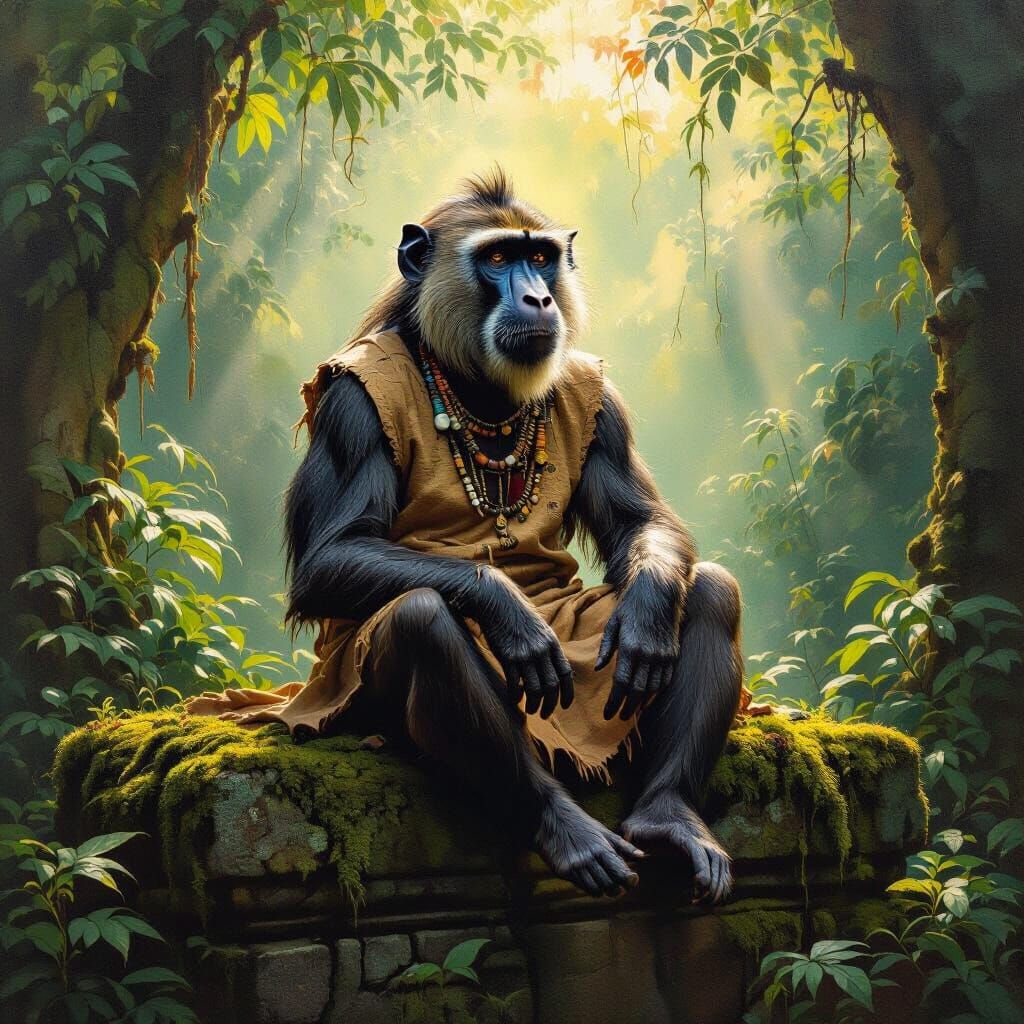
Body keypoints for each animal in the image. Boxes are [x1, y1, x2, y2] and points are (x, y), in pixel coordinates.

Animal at [195, 170, 744, 903]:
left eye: (539, 256)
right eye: (497, 257)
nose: (538, 295)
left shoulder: (605, 404)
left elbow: (640, 520)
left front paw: (650, 615)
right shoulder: (350, 408)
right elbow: (331, 554)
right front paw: (506, 608)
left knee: (710, 590)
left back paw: (666, 816)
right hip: (349, 702)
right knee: (421, 620)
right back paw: (563, 824)